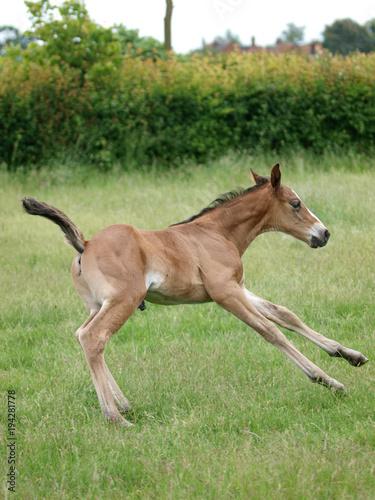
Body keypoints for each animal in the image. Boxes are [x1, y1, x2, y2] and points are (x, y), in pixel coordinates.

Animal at [23, 164, 370, 426]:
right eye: (295, 203)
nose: (324, 233)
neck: (217, 233)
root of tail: (85, 244)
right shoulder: (225, 293)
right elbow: (270, 330)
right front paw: (328, 381)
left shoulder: (238, 286)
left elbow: (284, 314)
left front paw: (349, 355)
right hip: (125, 300)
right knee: (94, 338)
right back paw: (114, 416)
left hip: (98, 305)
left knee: (84, 335)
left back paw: (123, 404)